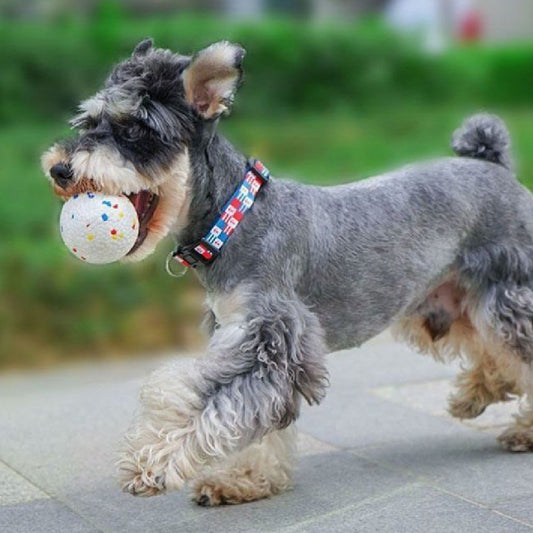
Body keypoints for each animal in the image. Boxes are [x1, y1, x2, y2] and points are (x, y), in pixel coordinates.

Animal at [41, 39, 533, 504]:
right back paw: (475, 394)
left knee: (514, 350)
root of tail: (493, 163)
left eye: (135, 129)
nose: (60, 169)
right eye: (89, 123)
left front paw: (151, 463)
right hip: (448, 303)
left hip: (506, 295)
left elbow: (201, 399)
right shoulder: (242, 337)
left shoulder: (268, 341)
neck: (232, 221)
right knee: (494, 353)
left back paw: (519, 428)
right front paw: (243, 480)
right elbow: (254, 426)